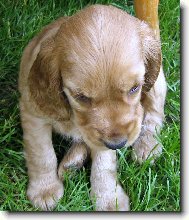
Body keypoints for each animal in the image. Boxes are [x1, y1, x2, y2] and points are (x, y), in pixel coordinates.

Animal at [18, 4, 167, 211]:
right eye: (81, 97)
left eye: (134, 88)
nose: (118, 144)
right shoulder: (34, 115)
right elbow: (42, 154)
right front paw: (45, 190)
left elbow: (104, 164)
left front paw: (108, 199)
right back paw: (72, 162)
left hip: (157, 84)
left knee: (154, 114)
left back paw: (147, 146)